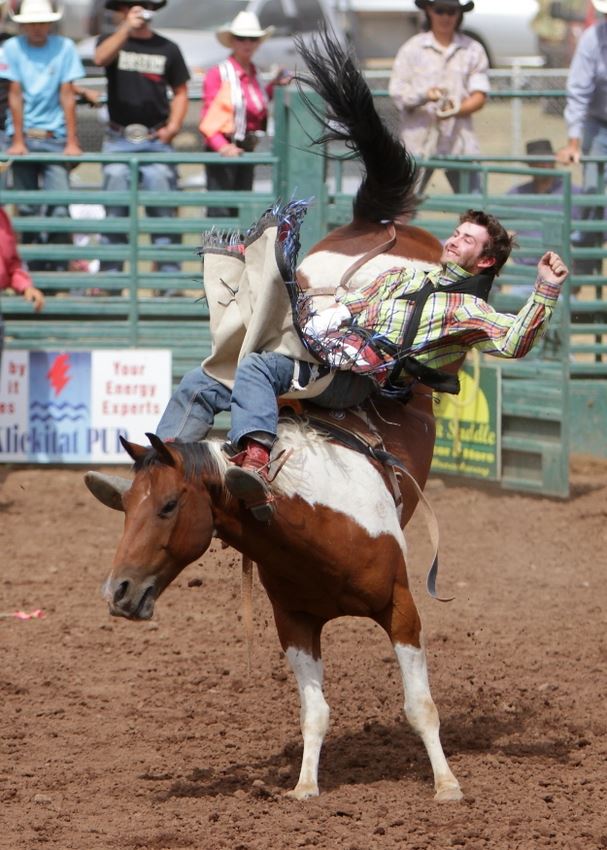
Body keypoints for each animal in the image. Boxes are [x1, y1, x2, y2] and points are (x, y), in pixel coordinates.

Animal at [84, 32, 462, 802]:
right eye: (127, 506)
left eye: (167, 506)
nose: (119, 591)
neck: (307, 521)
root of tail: (372, 223)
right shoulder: (295, 623)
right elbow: (315, 711)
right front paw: (306, 788)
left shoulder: (403, 607)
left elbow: (420, 704)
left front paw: (445, 786)